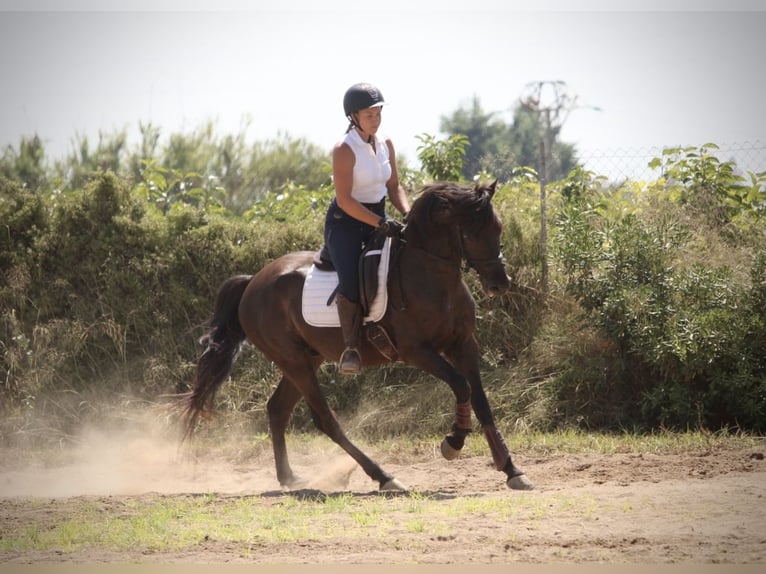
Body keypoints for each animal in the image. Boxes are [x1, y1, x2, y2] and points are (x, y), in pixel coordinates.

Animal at [179, 180, 534, 492]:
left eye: (498, 228)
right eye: (472, 233)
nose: (500, 283)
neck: (433, 275)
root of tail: (253, 282)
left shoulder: (463, 345)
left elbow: (481, 400)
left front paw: (511, 469)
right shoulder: (417, 351)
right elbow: (461, 385)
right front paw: (453, 442)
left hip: (306, 358)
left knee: (277, 409)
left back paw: (289, 477)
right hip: (293, 361)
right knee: (325, 420)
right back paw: (383, 477)